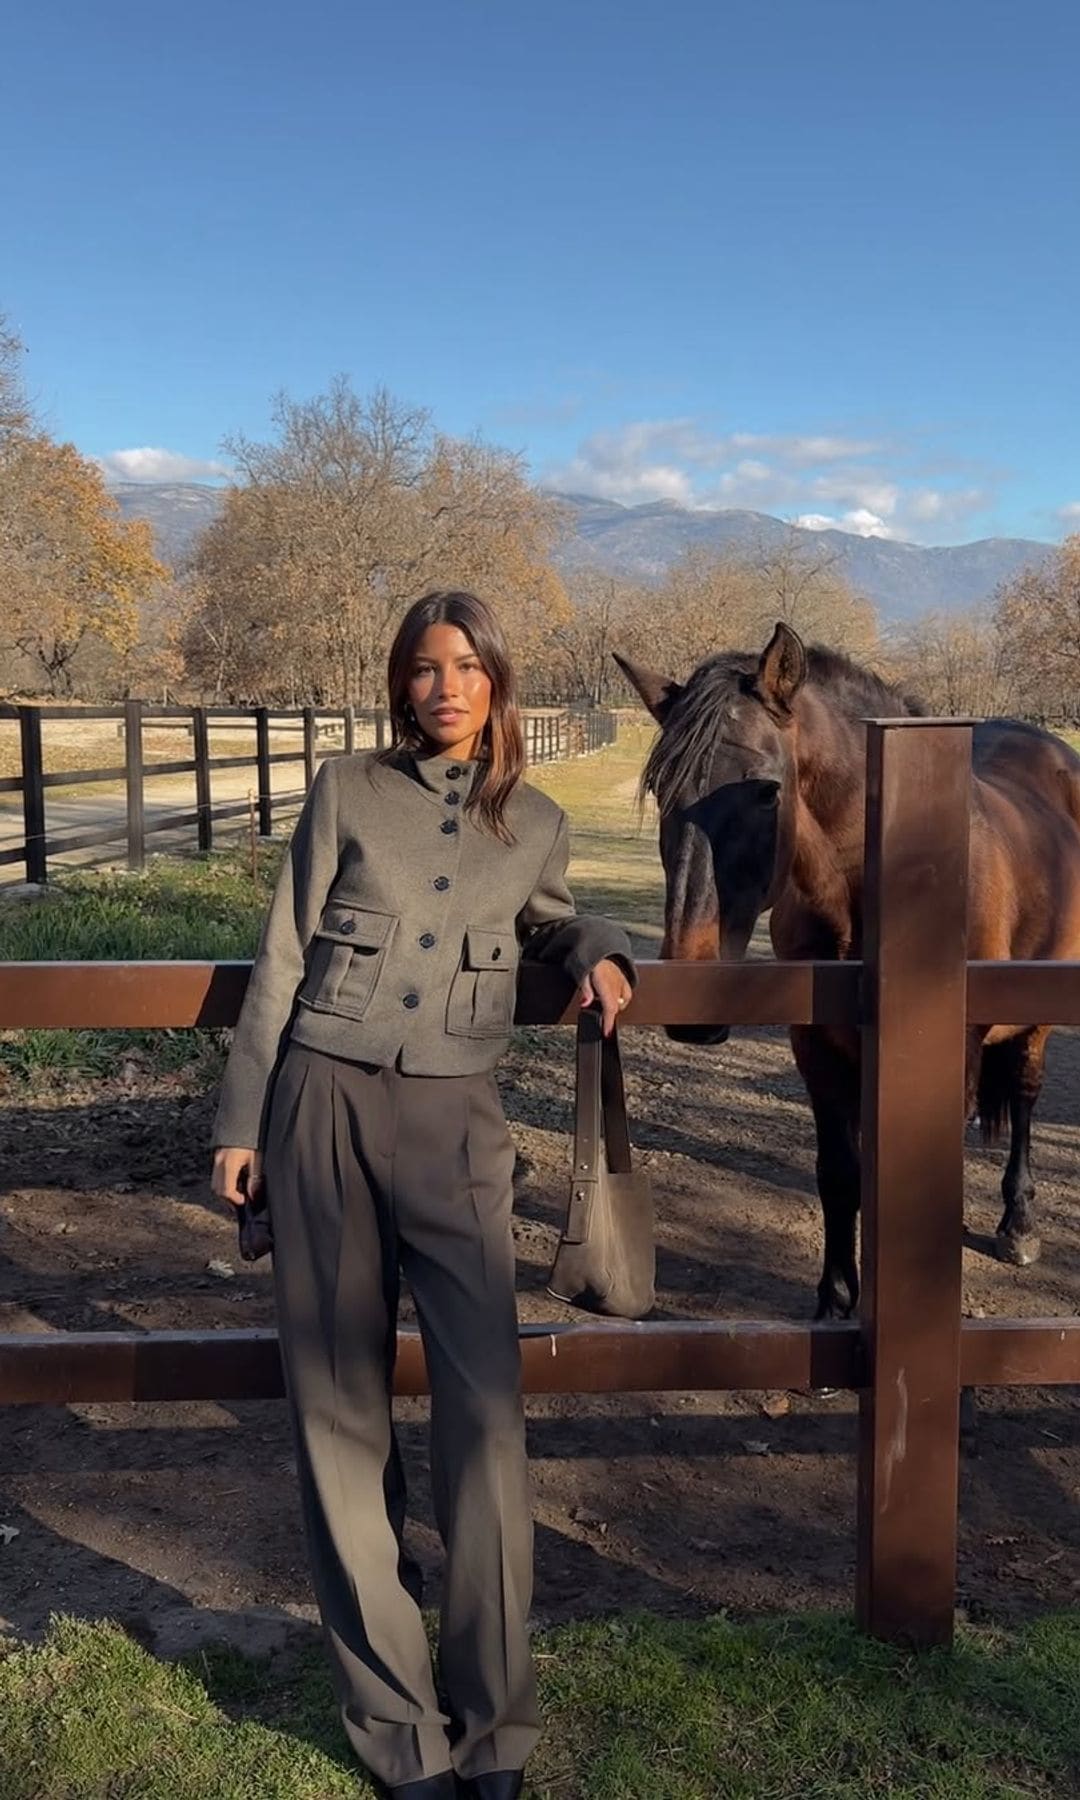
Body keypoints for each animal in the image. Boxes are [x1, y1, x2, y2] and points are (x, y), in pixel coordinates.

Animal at [619, 626, 1080, 1317]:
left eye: (767, 789)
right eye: (659, 789)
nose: (693, 997)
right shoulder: (817, 1043)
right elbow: (839, 1172)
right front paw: (836, 1301)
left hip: (1037, 1013)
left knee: (1024, 1095)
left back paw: (1018, 1224)